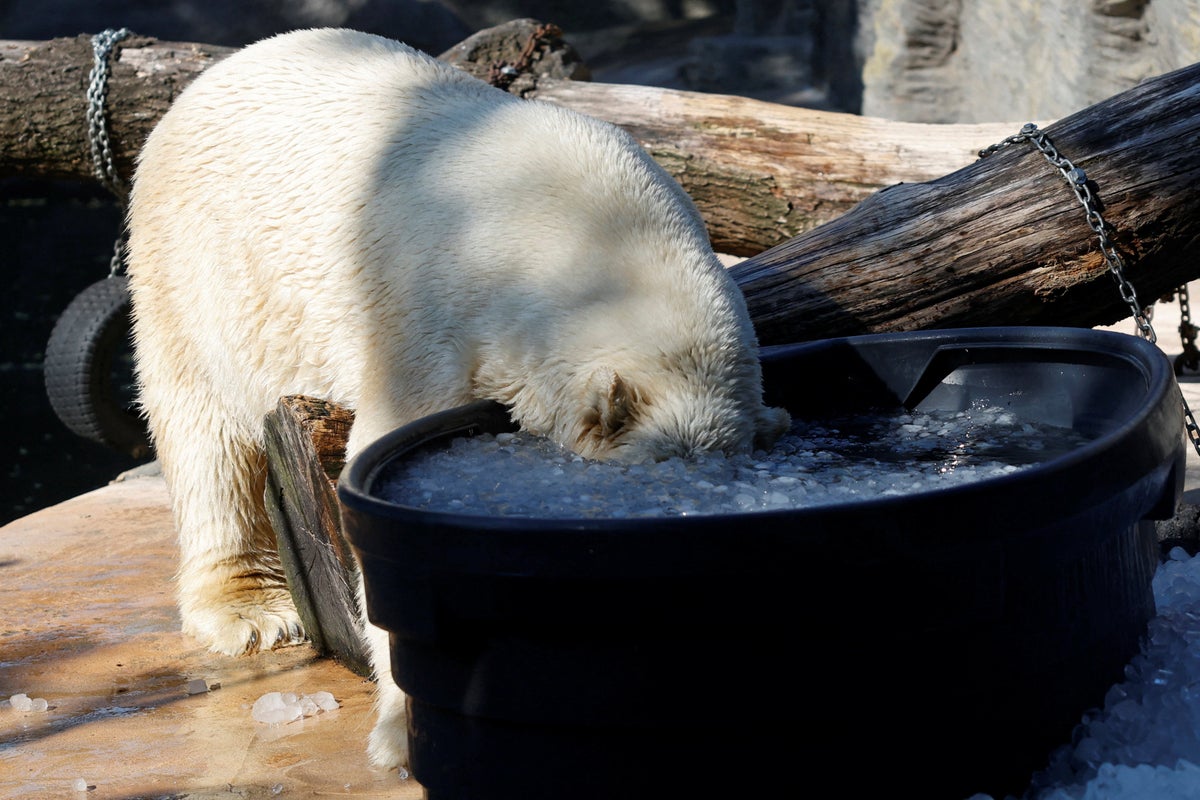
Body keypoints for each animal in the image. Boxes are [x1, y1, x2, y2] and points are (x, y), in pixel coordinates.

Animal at [124, 27, 790, 772]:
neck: (589, 232)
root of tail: (214, 73)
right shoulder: (430, 310)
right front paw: (400, 732)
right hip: (195, 270)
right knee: (205, 435)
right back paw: (251, 610)